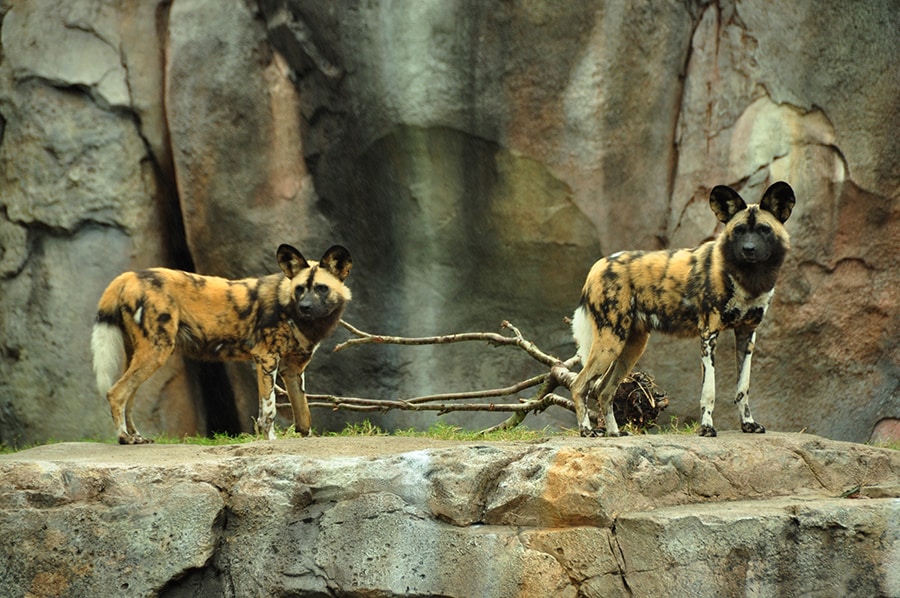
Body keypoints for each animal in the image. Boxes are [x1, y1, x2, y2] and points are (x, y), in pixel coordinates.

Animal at [90, 244, 352, 446]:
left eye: (321, 288)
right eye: (299, 289)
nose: (305, 307)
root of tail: (130, 275)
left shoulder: (293, 369)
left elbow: (303, 411)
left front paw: (306, 439)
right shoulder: (266, 358)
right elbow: (268, 411)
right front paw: (269, 442)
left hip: (140, 354)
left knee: (128, 396)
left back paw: (136, 436)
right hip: (157, 351)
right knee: (116, 393)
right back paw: (124, 438)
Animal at [568, 180, 796, 438]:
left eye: (764, 230)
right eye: (738, 230)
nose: (748, 249)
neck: (748, 279)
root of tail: (598, 265)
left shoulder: (747, 334)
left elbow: (742, 388)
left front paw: (748, 424)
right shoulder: (708, 334)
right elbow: (709, 391)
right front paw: (706, 427)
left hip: (631, 346)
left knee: (603, 389)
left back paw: (614, 433)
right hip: (610, 342)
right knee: (580, 385)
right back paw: (587, 430)